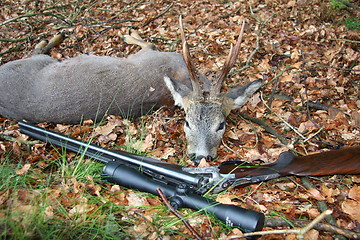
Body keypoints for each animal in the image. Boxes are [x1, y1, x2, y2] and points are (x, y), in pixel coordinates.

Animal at [0, 18, 264, 164]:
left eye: (221, 125)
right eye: (187, 123)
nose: (200, 157)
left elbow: (149, 43)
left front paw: (130, 34)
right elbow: (150, 42)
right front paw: (131, 33)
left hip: (35, 62)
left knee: (35, 51)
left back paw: (51, 38)